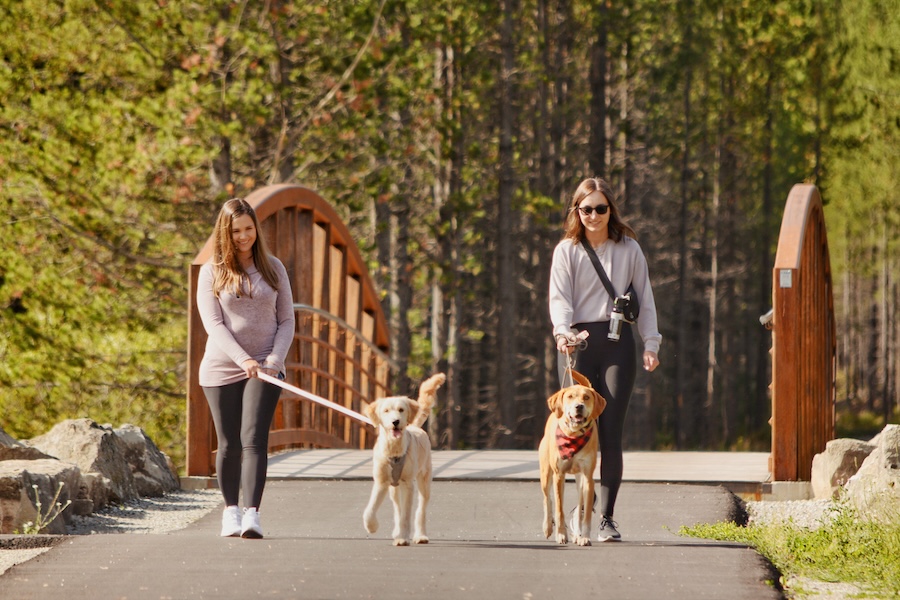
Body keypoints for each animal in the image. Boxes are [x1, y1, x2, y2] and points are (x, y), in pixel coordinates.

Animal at [358, 372, 442, 548]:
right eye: (386, 410)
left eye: (401, 410)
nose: (395, 421)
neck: (394, 450)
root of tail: (415, 426)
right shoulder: (381, 482)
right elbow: (370, 510)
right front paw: (372, 526)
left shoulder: (408, 484)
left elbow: (406, 515)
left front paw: (403, 538)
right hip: (394, 489)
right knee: (397, 508)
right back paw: (397, 531)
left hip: (424, 481)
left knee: (420, 510)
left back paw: (420, 535)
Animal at [540, 368, 604, 548]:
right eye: (570, 397)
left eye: (586, 397)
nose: (579, 406)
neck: (574, 435)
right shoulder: (559, 475)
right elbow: (559, 508)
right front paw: (561, 534)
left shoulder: (588, 478)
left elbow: (586, 511)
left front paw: (584, 537)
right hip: (546, 472)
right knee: (547, 499)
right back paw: (548, 527)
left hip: (579, 479)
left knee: (579, 504)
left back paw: (577, 533)